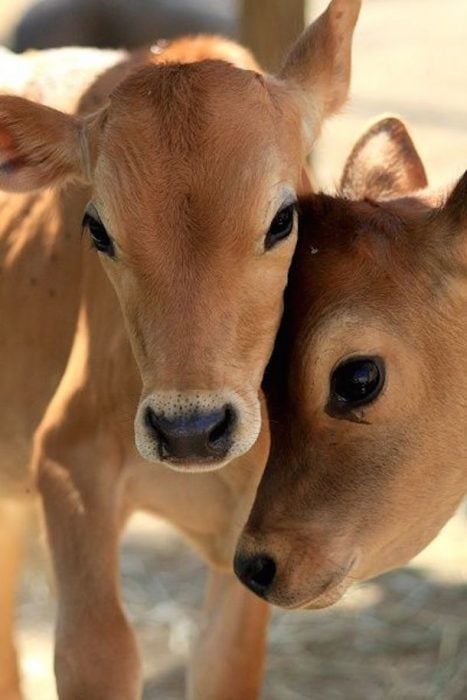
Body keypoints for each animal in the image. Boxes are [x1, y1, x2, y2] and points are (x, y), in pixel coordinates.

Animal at [0, 2, 362, 696]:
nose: (190, 430)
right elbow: (99, 655)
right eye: (97, 228)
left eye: (283, 219)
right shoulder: (65, 463)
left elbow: (226, 664)